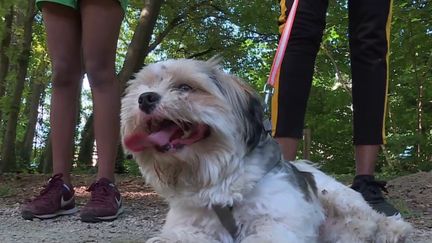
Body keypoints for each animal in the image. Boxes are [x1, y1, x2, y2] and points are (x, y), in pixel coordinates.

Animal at [120, 58, 412, 242]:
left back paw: (393, 230)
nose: (145, 98)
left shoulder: (275, 221)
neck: (219, 180)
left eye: (184, 87)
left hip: (337, 197)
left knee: (372, 219)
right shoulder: (191, 225)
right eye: (143, 88)